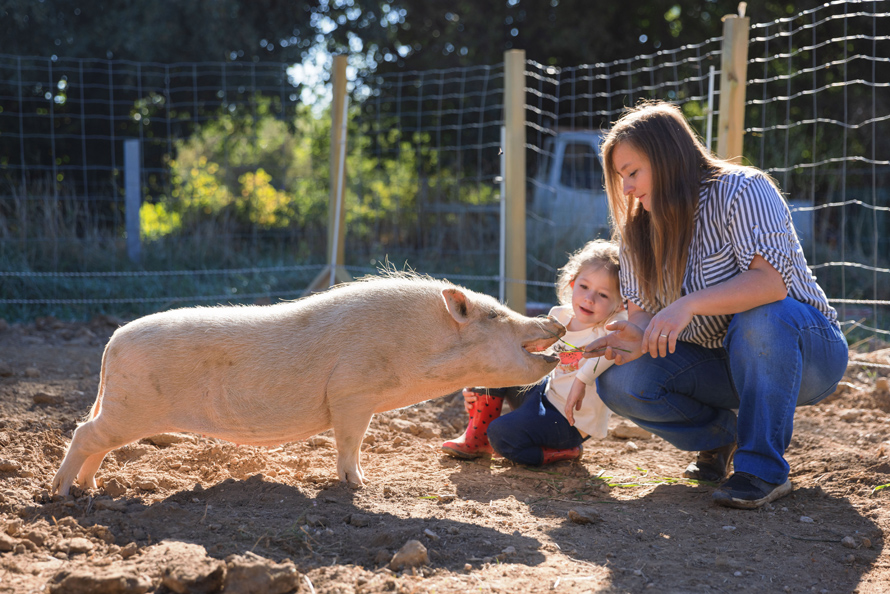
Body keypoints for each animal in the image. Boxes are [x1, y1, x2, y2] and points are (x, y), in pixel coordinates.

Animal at [50, 272, 560, 494]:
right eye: (495, 315)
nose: (552, 321)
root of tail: (111, 343)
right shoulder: (352, 393)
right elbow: (350, 443)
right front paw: (360, 485)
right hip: (129, 406)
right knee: (83, 433)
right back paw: (60, 494)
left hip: (121, 408)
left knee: (95, 441)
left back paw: (92, 490)